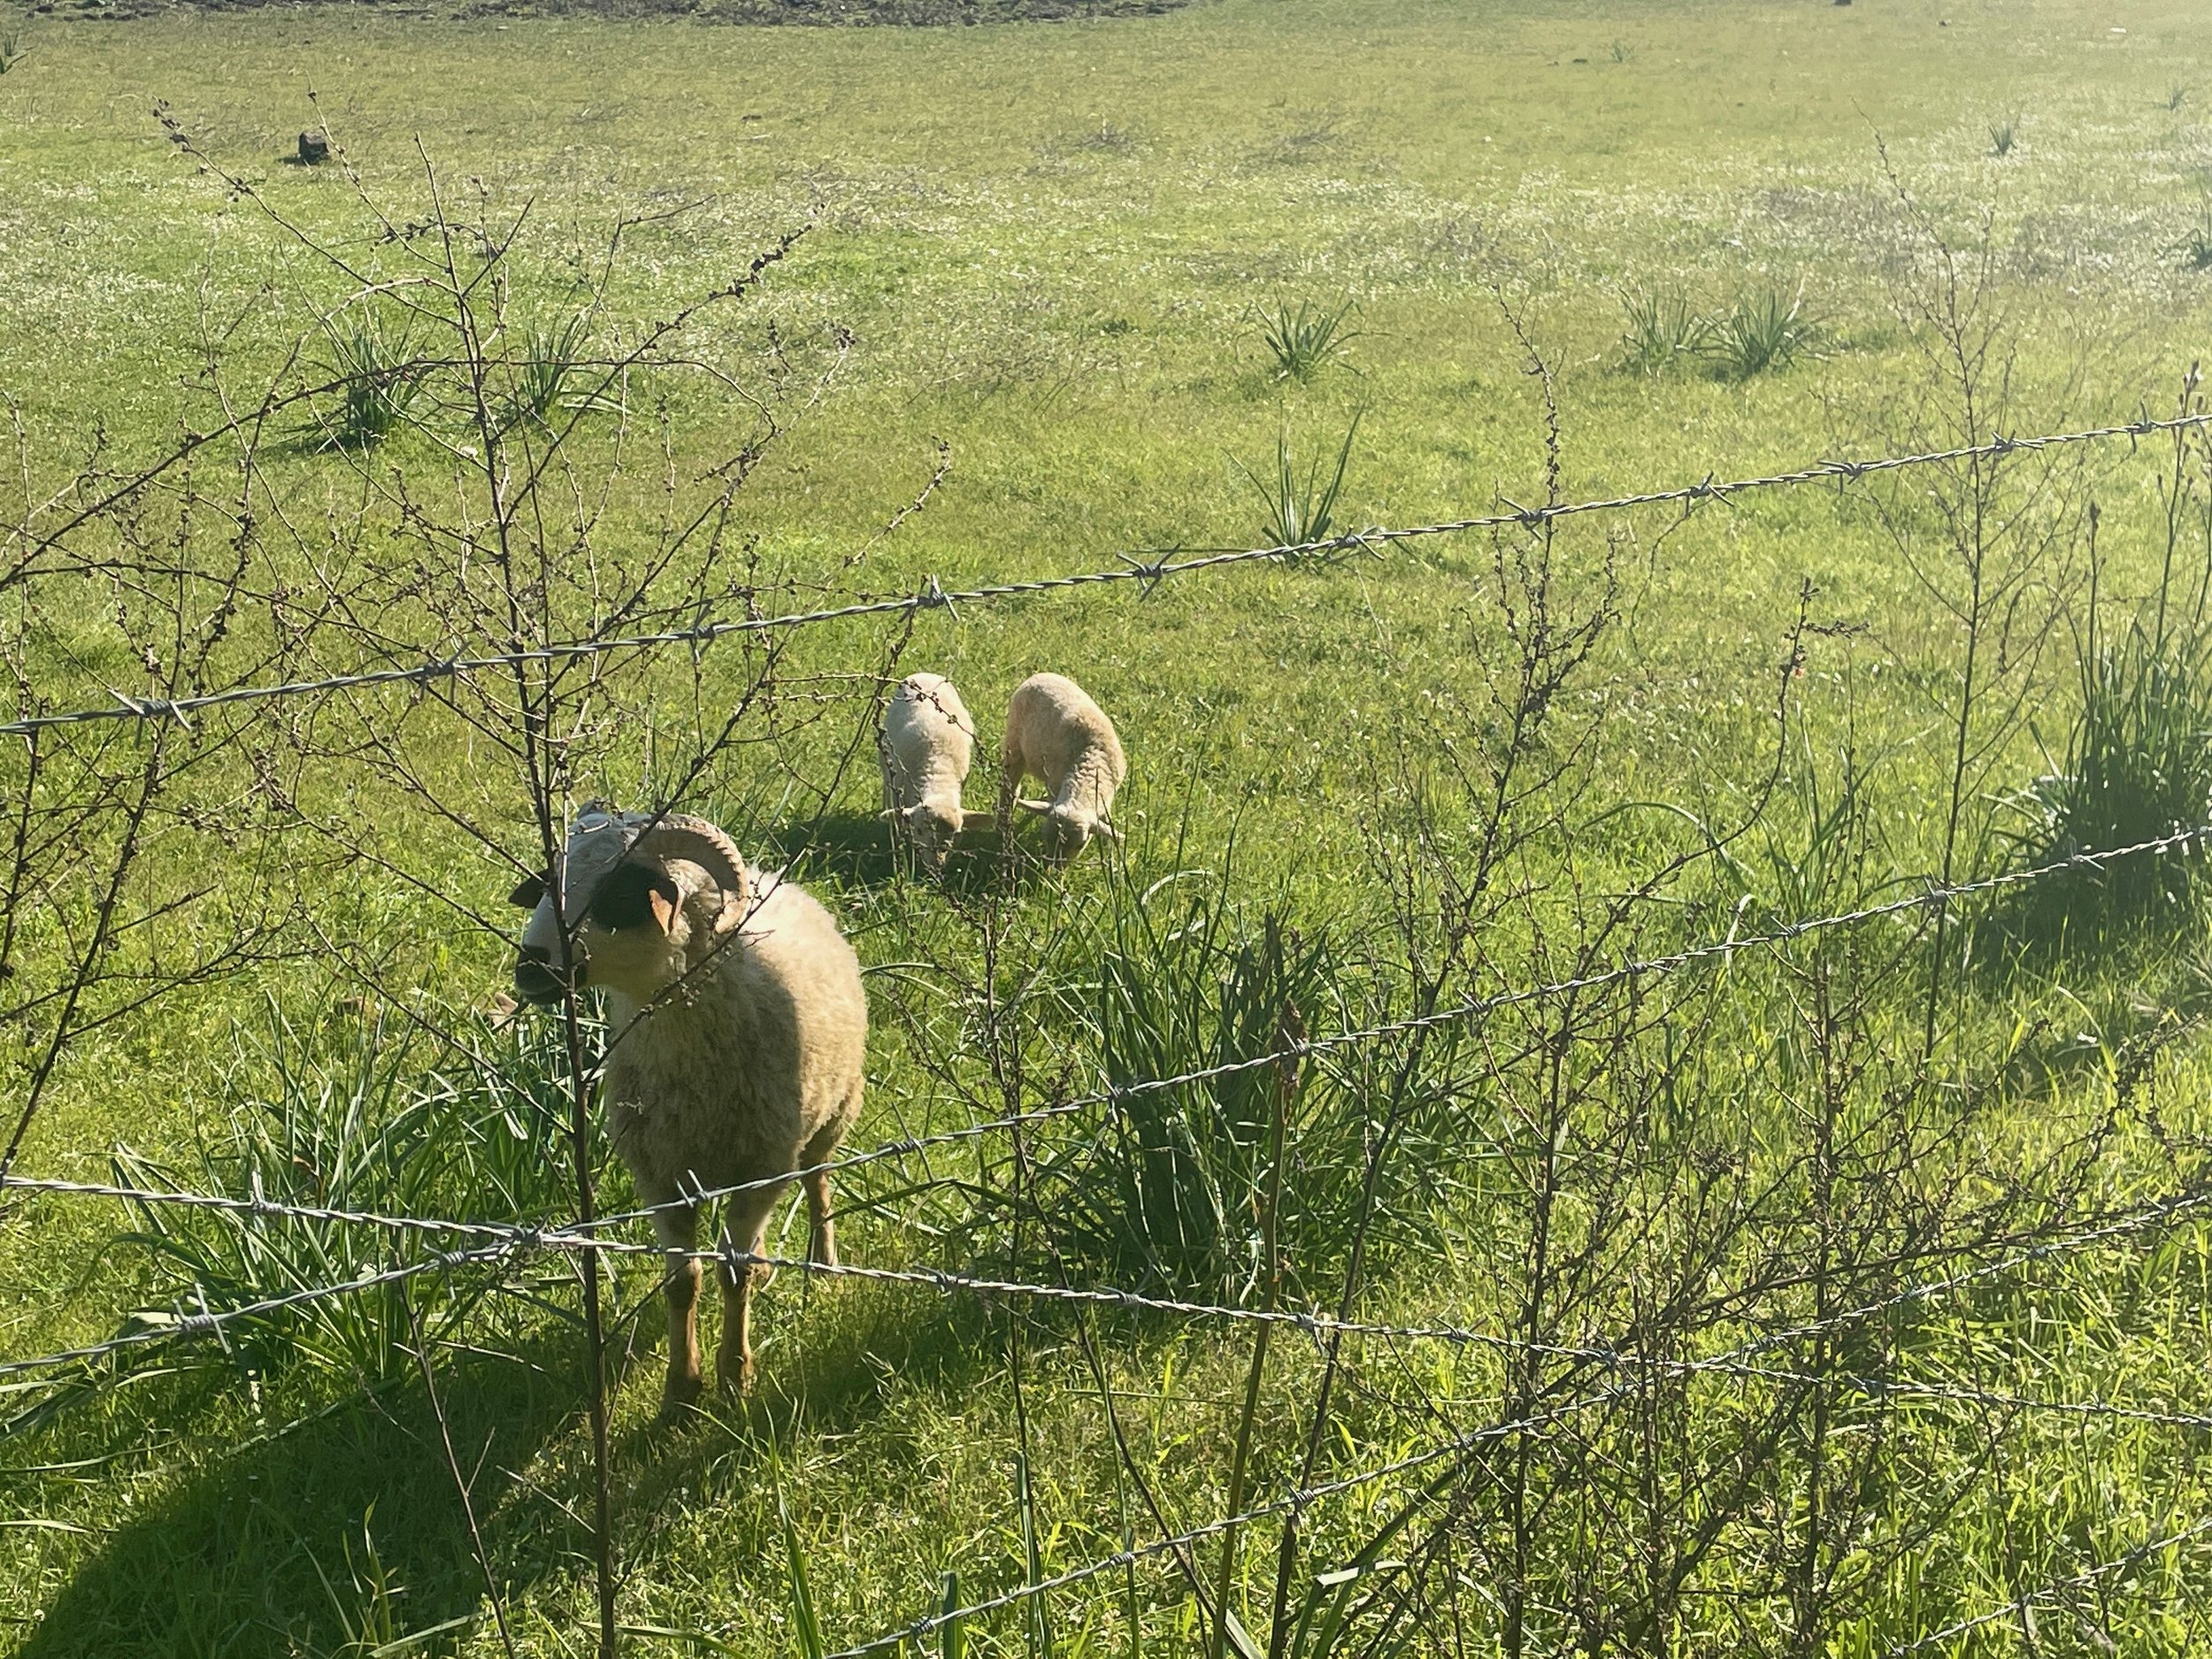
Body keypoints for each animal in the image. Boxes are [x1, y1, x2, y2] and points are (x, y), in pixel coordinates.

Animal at [508, 805, 867, 1409]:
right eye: (546, 881)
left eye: (619, 892)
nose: (531, 967)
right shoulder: (660, 1177)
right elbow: (684, 1282)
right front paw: (680, 1388)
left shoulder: (762, 1169)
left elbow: (732, 1277)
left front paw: (735, 1377)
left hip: (832, 1114)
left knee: (818, 1183)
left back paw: (823, 1265)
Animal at [999, 672, 1127, 862]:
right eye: (1045, 838)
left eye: (1081, 845)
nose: (1055, 868)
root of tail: (1041, 674)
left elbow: (1106, 821)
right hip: (1014, 745)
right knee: (1010, 786)